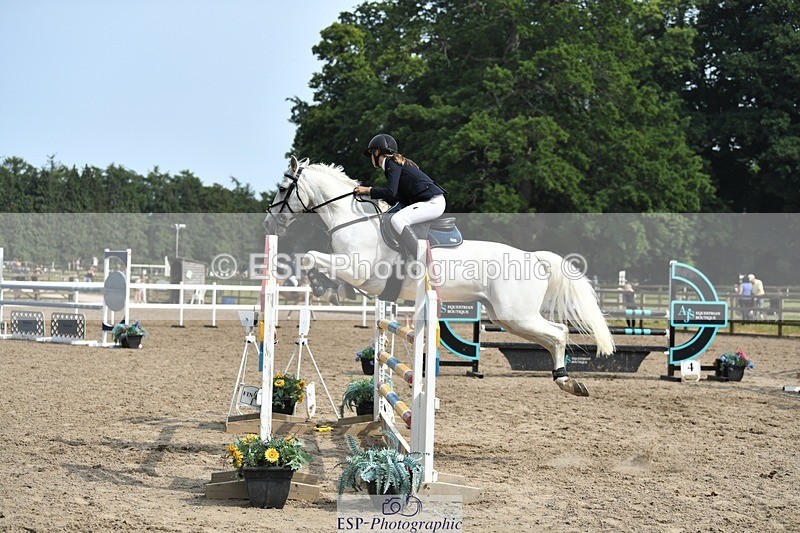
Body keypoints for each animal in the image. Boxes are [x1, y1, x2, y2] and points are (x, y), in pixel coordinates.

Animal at [265, 156, 614, 396]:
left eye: (283, 189)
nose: (268, 223)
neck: (352, 220)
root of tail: (534, 258)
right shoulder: (351, 271)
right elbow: (318, 263)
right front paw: (327, 287)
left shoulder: (357, 269)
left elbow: (309, 256)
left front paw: (321, 286)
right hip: (505, 316)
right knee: (551, 336)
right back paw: (565, 380)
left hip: (517, 315)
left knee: (558, 332)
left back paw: (567, 381)